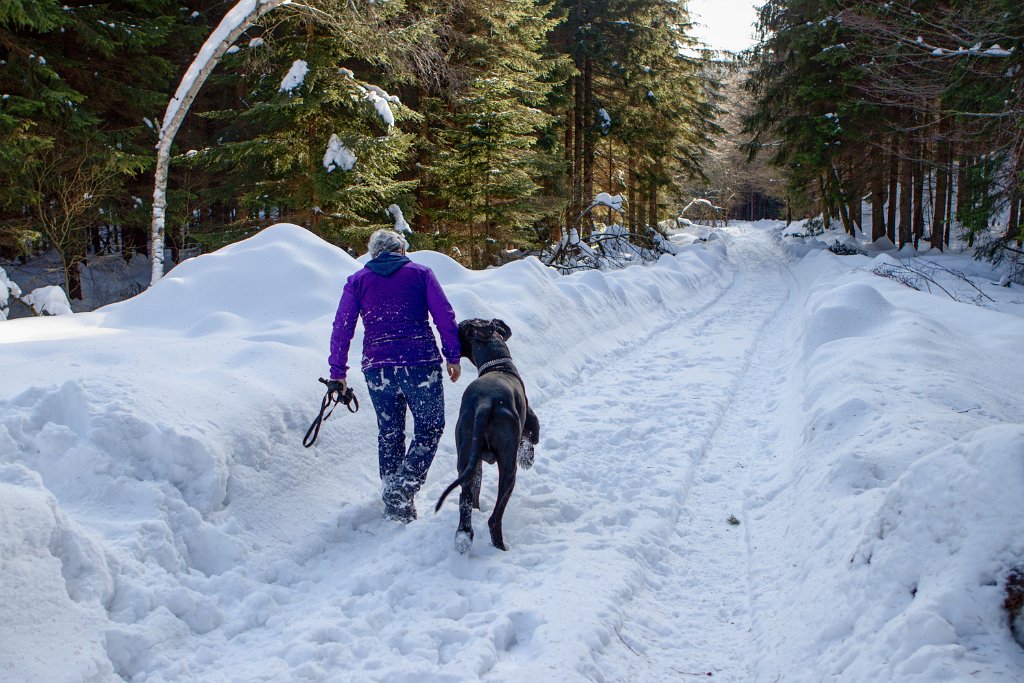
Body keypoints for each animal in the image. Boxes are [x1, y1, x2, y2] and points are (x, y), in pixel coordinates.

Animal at [434, 317, 540, 552]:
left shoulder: (477, 462)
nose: (446, 347)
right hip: (508, 467)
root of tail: (485, 403)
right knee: (495, 517)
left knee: (466, 498)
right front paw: (528, 459)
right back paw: (501, 546)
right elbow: (532, 439)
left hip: (466, 457)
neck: (498, 365)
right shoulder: (530, 424)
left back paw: (463, 537)